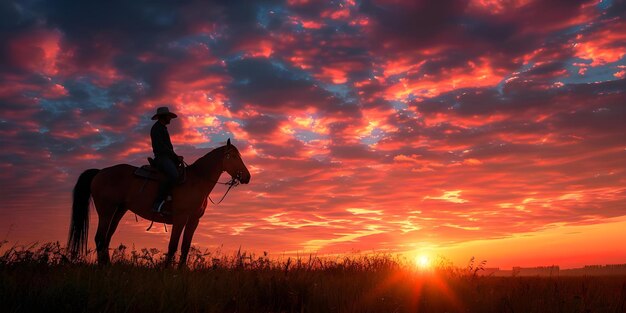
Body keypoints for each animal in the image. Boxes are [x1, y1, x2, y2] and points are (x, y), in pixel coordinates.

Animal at [67, 140, 250, 268]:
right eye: (234, 156)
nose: (247, 177)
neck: (196, 181)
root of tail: (100, 172)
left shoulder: (193, 221)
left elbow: (185, 247)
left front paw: (181, 271)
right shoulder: (180, 218)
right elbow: (173, 246)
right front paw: (168, 271)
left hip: (118, 211)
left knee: (106, 239)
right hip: (106, 211)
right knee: (99, 238)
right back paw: (103, 268)